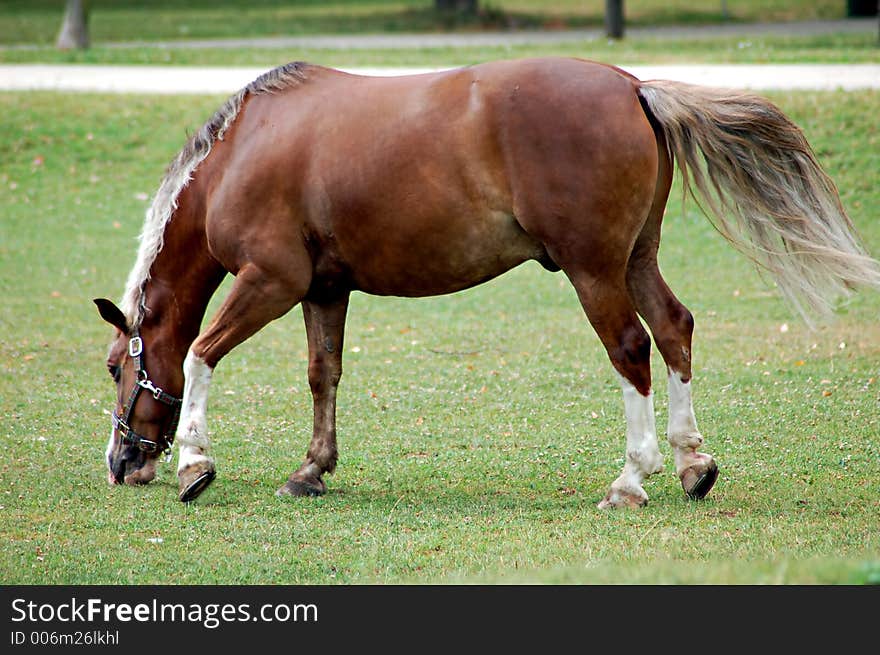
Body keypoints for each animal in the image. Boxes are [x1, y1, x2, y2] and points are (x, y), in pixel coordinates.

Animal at [94, 57, 880, 508]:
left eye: (111, 367)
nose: (120, 463)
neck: (242, 154)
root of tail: (634, 86)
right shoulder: (323, 289)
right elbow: (324, 374)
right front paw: (312, 469)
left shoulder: (272, 281)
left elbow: (201, 354)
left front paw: (195, 462)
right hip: (636, 258)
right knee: (674, 328)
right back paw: (693, 464)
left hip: (594, 269)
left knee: (632, 349)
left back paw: (632, 479)